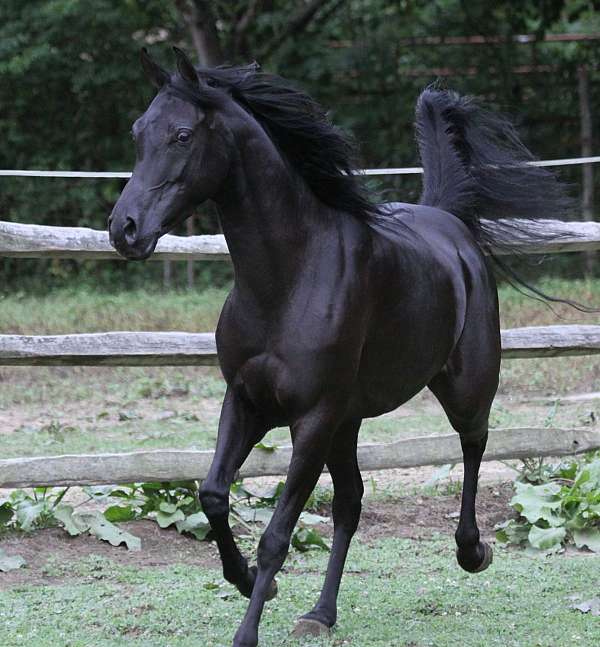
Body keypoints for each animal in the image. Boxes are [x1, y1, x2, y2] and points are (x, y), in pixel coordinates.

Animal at [111, 48, 576, 644]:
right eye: (137, 132)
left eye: (183, 134)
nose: (123, 229)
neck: (288, 278)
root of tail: (451, 223)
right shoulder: (248, 401)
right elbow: (213, 494)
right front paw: (247, 582)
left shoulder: (311, 418)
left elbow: (277, 537)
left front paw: (247, 629)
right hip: (348, 422)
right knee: (351, 503)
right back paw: (320, 613)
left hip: (463, 387)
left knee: (474, 443)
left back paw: (472, 551)